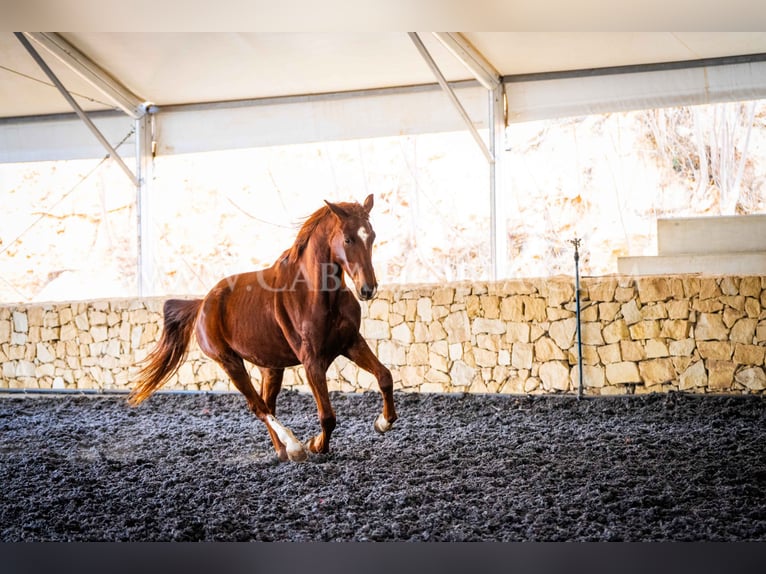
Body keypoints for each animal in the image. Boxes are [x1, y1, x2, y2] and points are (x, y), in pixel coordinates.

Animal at [127, 195, 396, 464]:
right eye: (348, 239)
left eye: (371, 236)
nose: (367, 289)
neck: (316, 293)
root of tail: (202, 303)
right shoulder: (311, 360)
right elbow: (327, 416)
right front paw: (315, 445)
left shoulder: (351, 343)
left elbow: (385, 377)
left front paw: (382, 422)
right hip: (229, 362)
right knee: (258, 406)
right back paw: (294, 447)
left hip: (270, 367)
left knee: (267, 403)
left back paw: (283, 450)